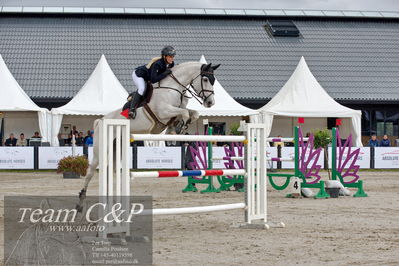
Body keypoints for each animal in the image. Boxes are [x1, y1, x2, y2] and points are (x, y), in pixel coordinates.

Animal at [76, 61, 220, 209]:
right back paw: (81, 201)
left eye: (213, 80)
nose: (210, 103)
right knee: (90, 171)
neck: (174, 87)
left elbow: (193, 113)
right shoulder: (164, 111)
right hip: (101, 150)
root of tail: (100, 121)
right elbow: (184, 113)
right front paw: (180, 127)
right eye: (205, 79)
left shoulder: (176, 111)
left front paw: (176, 128)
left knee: (112, 170)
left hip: (117, 147)